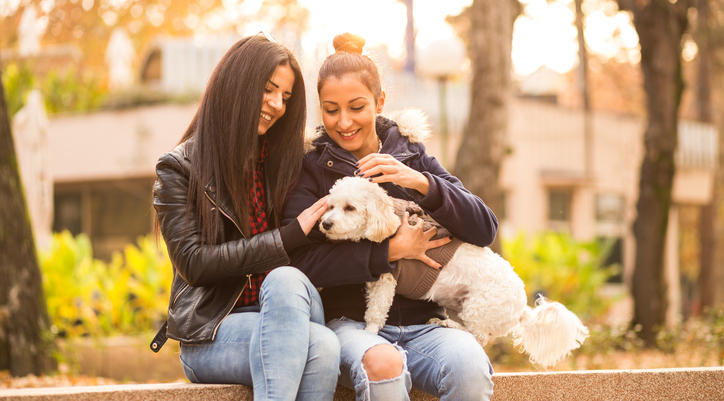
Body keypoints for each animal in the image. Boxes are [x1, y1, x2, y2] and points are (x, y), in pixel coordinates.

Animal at [320, 177, 592, 368]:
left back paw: (448, 324)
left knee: (479, 337)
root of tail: (522, 308)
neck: (391, 219)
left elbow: (376, 312)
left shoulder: (387, 280)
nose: (325, 223)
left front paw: (369, 332)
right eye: (330, 206)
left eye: (350, 208)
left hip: (477, 307)